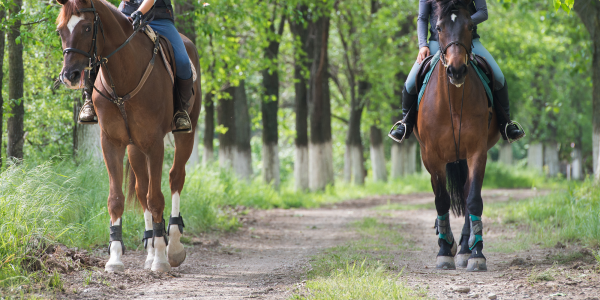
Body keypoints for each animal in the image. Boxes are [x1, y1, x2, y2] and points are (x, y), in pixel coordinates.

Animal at [54, 0, 199, 272]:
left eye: (87, 27)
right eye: (60, 30)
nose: (70, 76)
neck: (122, 75)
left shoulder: (154, 143)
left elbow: (156, 198)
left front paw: (161, 259)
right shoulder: (112, 142)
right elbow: (117, 199)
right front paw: (115, 258)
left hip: (186, 133)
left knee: (175, 178)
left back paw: (173, 247)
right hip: (134, 148)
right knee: (142, 190)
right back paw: (151, 250)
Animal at [414, 0, 500, 272]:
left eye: (470, 26)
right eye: (439, 28)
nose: (456, 71)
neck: (452, 100)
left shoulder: (477, 152)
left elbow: (473, 200)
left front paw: (476, 254)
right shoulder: (431, 157)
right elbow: (441, 201)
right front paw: (444, 251)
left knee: (466, 192)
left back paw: (464, 247)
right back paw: (451, 243)